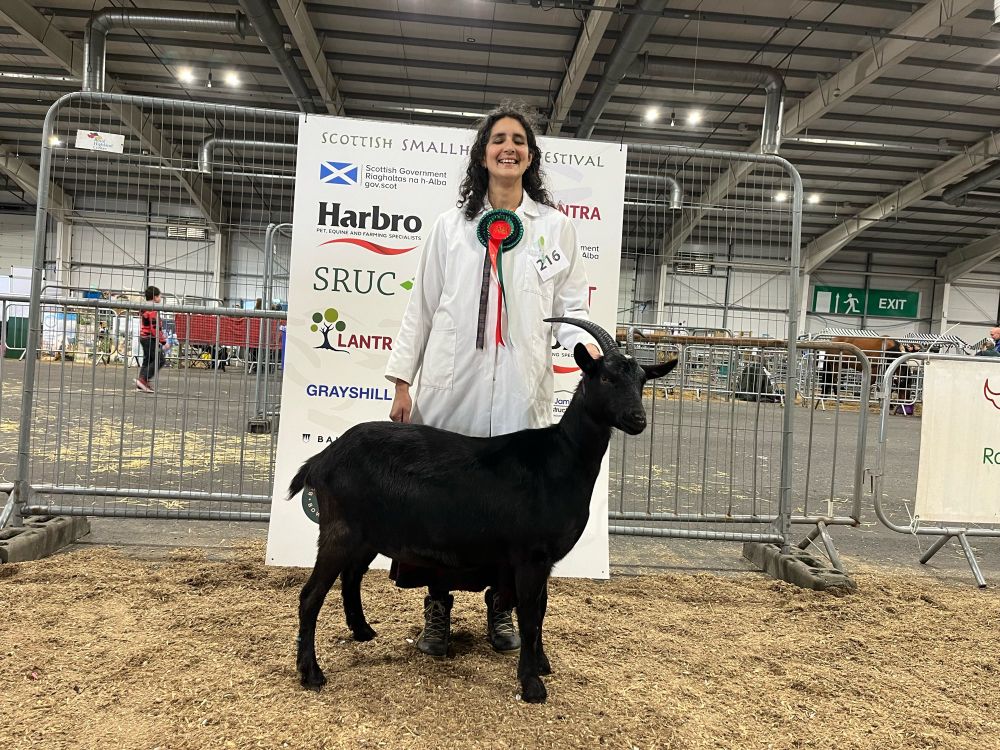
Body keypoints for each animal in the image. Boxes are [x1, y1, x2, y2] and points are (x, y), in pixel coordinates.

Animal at [289, 318, 677, 703]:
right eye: (607, 378)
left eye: (642, 380)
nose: (637, 419)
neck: (559, 458)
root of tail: (323, 458)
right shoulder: (530, 555)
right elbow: (530, 615)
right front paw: (532, 685)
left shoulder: (544, 560)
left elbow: (541, 608)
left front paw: (542, 663)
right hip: (341, 529)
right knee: (311, 596)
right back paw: (311, 673)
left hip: (368, 533)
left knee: (351, 576)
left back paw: (362, 631)